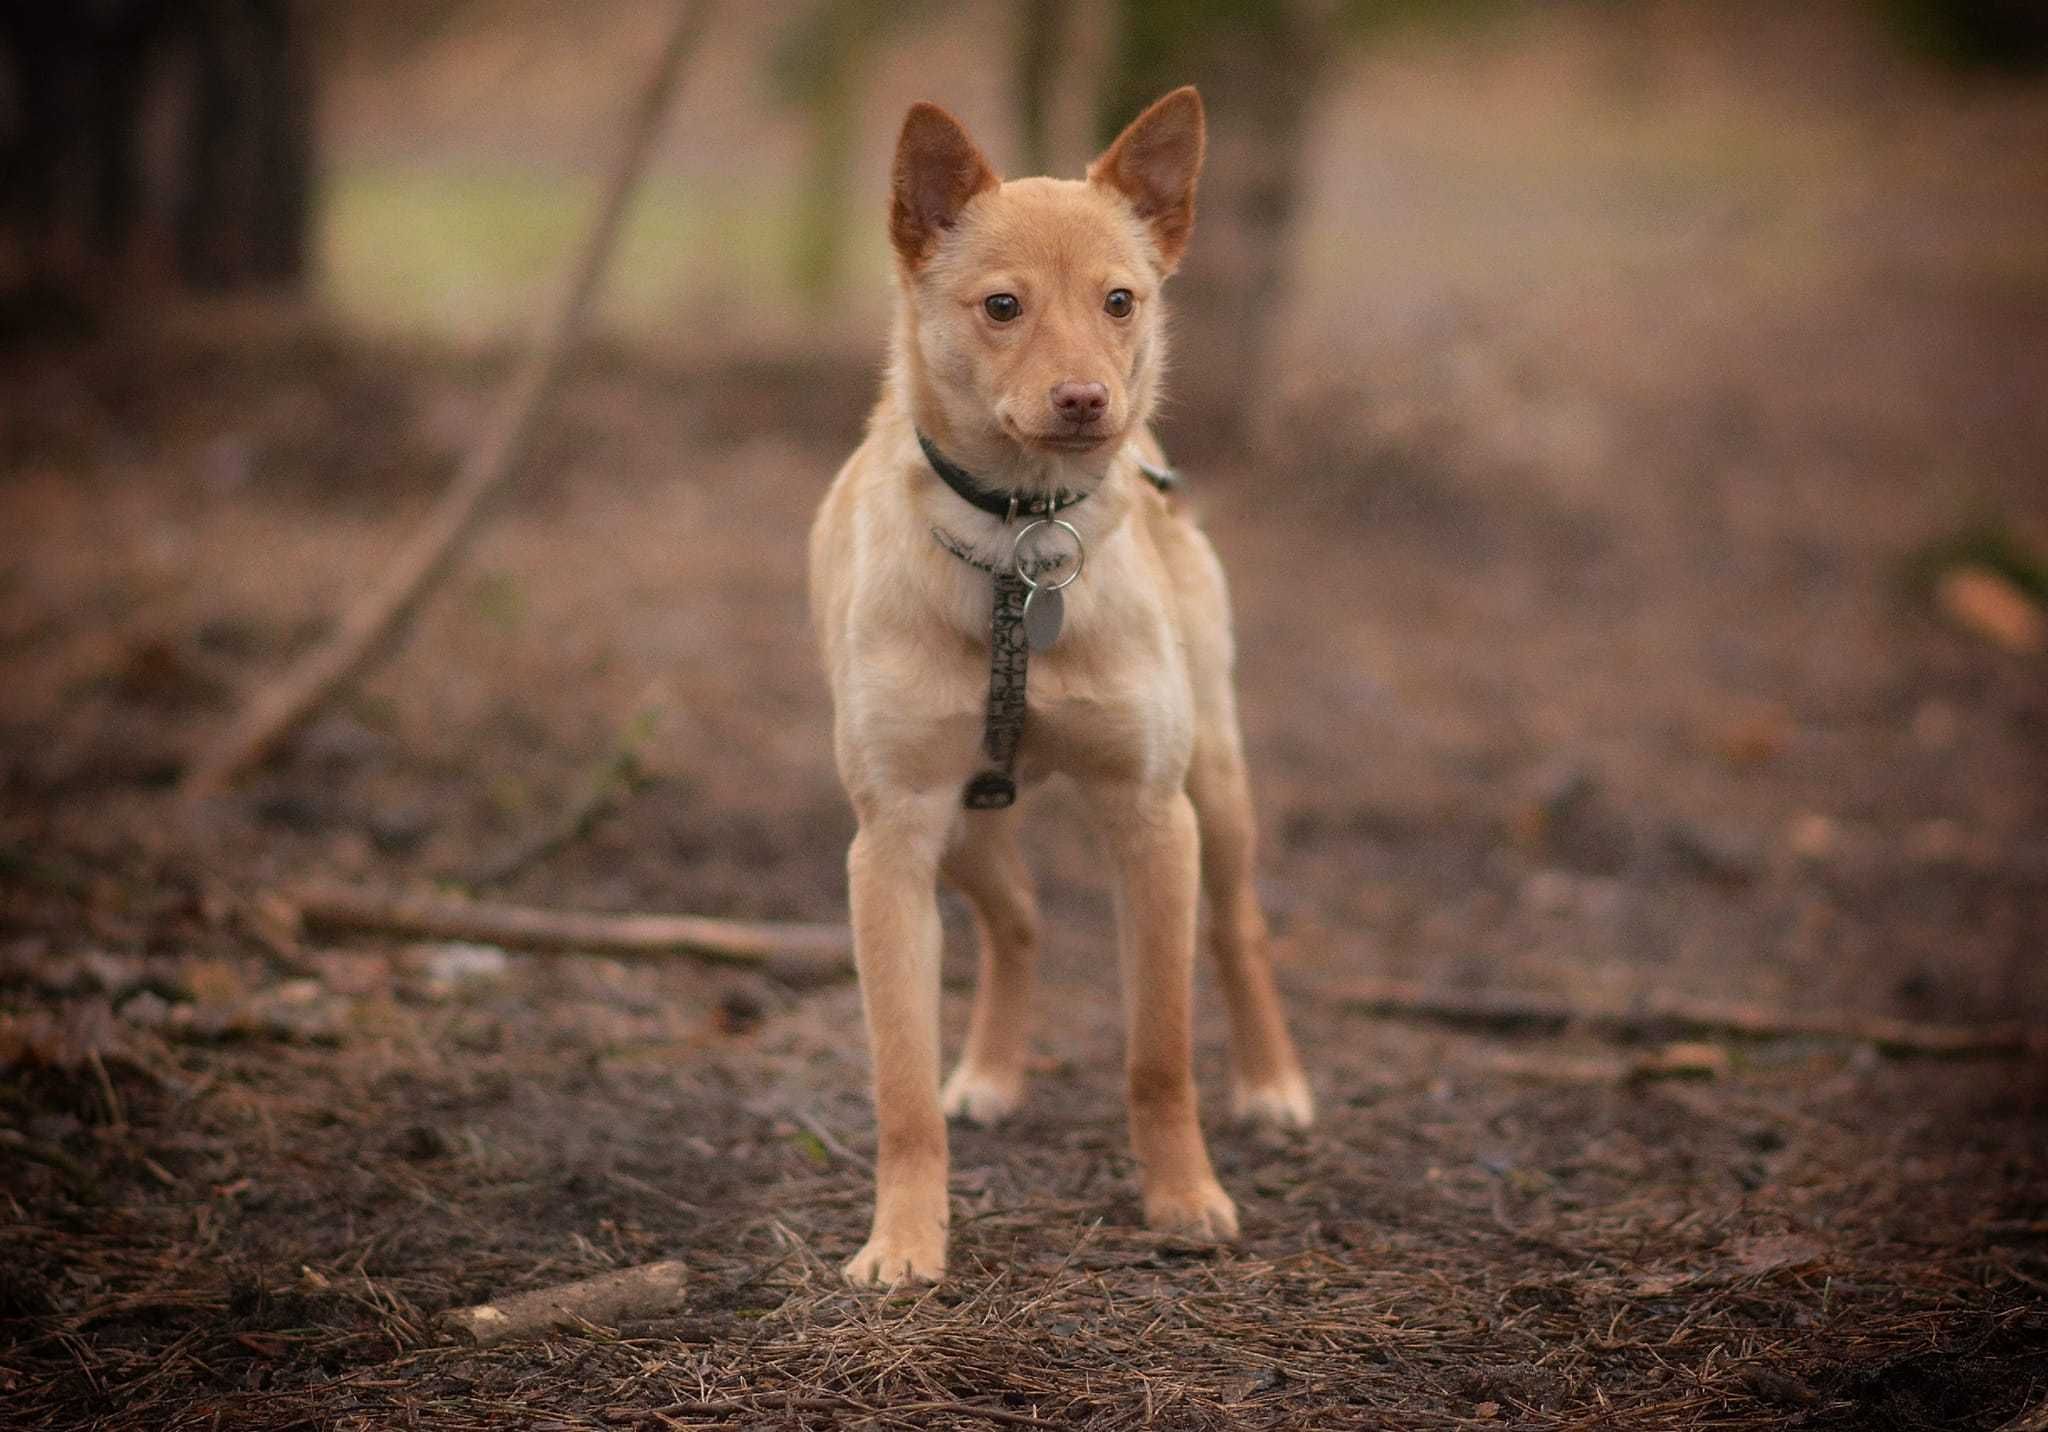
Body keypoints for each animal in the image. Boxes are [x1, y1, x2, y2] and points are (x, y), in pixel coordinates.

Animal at [802, 87, 1310, 1286]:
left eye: (1120, 301)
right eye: (1001, 306)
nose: (1087, 400)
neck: (1016, 552)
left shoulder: (1151, 819)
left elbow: (1158, 1055)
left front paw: (1183, 1197)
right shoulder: (890, 841)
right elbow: (899, 1084)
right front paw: (904, 1239)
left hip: (1216, 785)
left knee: (1238, 928)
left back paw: (1273, 1083)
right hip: (965, 826)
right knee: (1018, 920)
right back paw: (989, 1072)